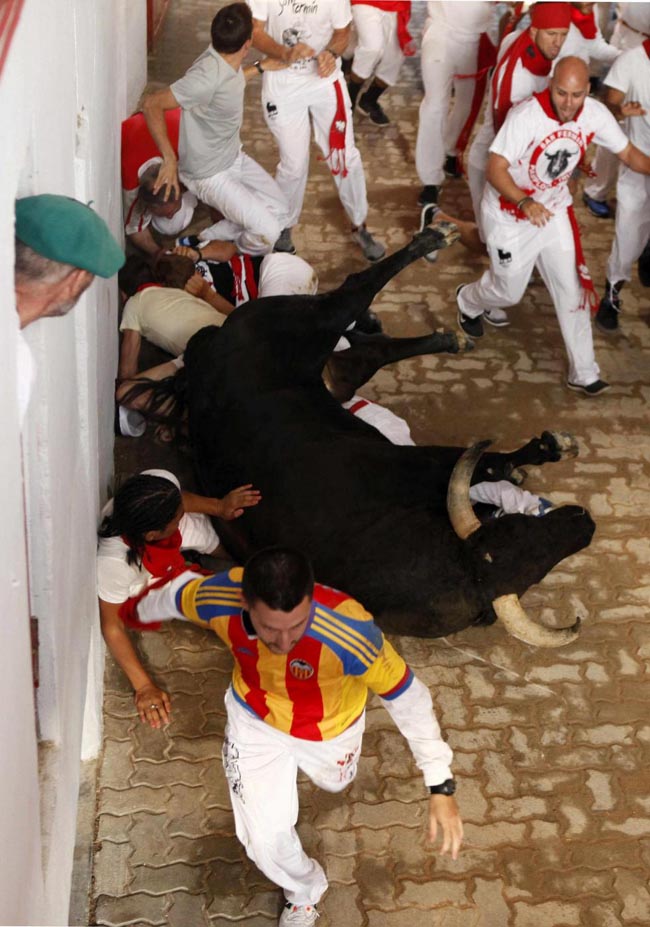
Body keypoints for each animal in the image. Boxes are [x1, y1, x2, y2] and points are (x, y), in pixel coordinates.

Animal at [181, 229, 592, 648]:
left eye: (537, 567)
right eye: (518, 530)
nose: (584, 521)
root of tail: (214, 342)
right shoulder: (417, 464)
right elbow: (491, 462)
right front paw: (550, 448)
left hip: (334, 369)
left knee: (368, 349)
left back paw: (448, 337)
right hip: (315, 323)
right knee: (354, 291)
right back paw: (433, 240)